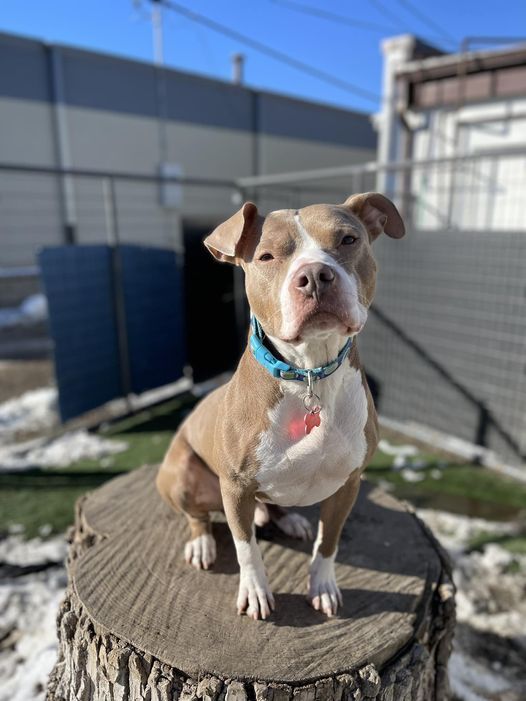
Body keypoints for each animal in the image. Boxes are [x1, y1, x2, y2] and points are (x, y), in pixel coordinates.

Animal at [156, 190, 404, 616]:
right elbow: (246, 548)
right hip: (181, 474)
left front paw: (323, 586)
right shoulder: (236, 487)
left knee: (273, 504)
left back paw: (288, 520)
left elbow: (328, 542)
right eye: (267, 256)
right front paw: (255, 591)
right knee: (199, 516)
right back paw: (202, 543)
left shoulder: (348, 483)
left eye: (348, 240)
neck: (309, 373)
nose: (316, 276)